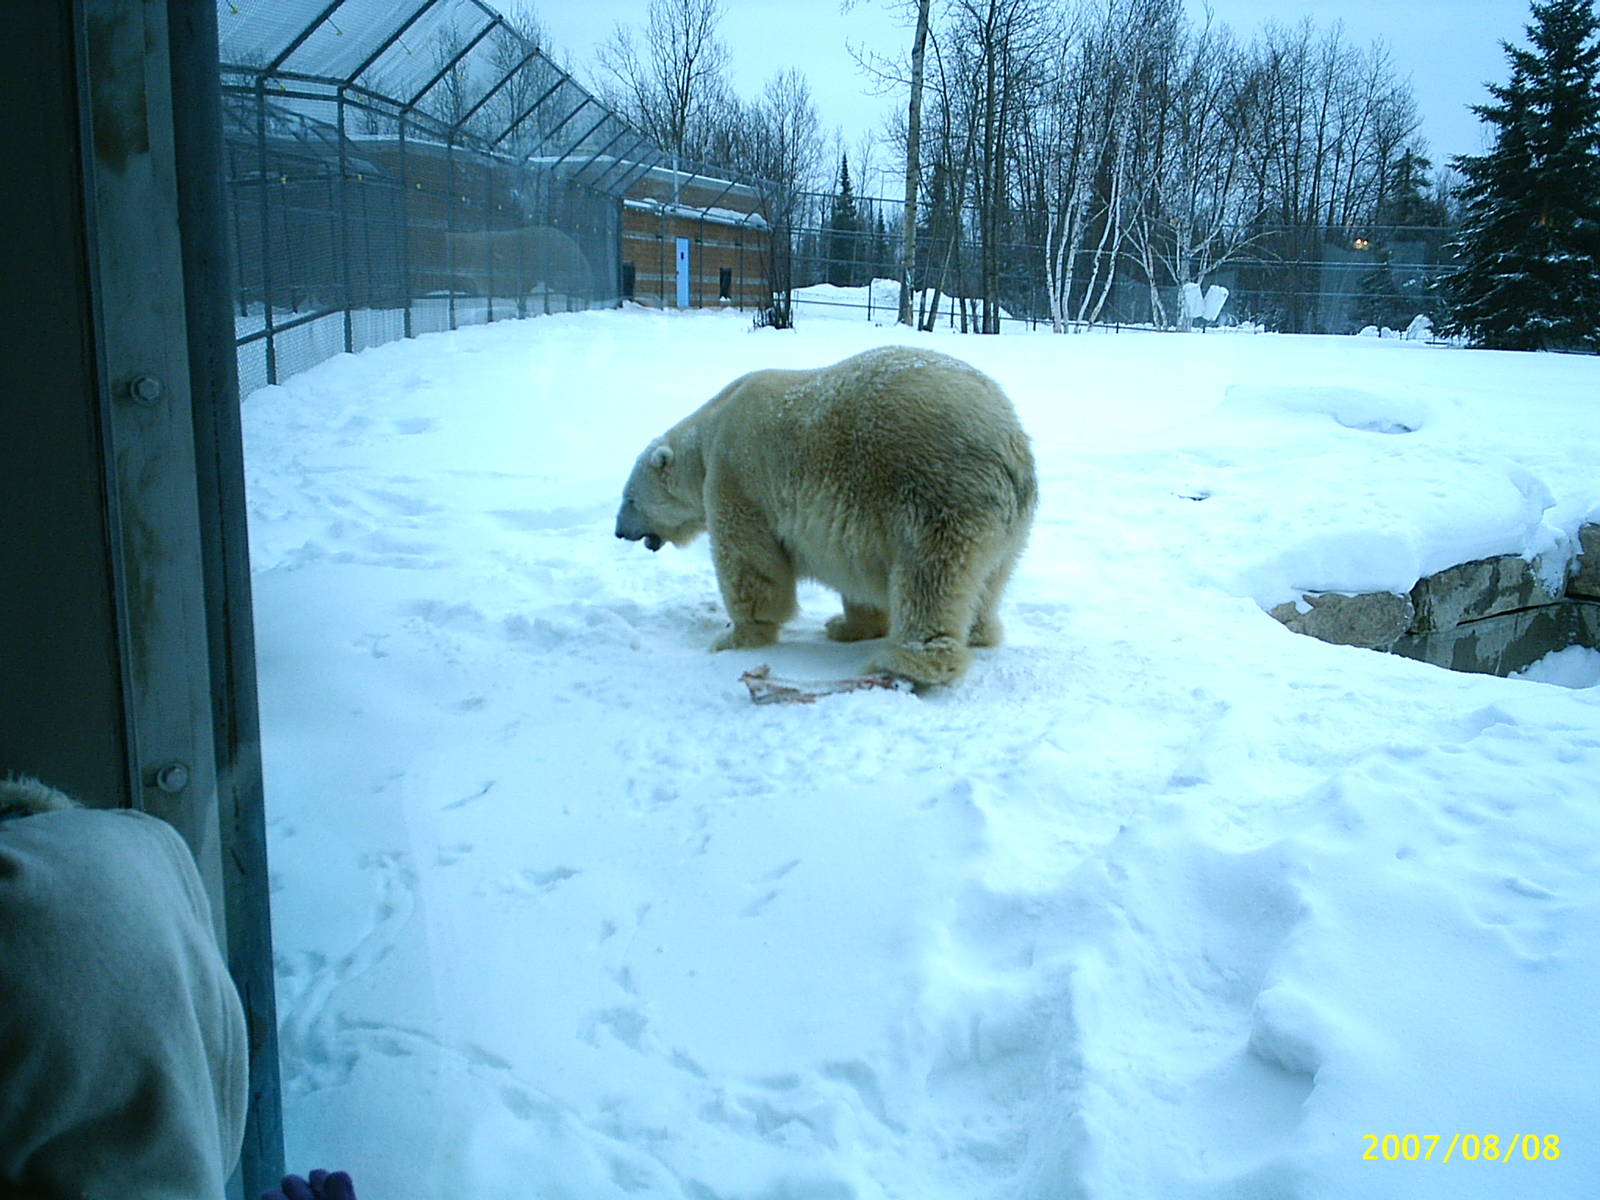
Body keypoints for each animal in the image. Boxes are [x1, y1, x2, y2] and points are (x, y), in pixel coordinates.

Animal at [614, 345, 1037, 685]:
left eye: (630, 499)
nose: (619, 532)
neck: (708, 432)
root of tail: (1008, 444)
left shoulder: (736, 477)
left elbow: (751, 565)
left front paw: (735, 637)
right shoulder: (857, 526)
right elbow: (858, 571)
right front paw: (847, 625)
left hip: (936, 493)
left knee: (930, 577)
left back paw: (909, 663)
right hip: (1011, 525)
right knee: (989, 579)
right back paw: (979, 632)